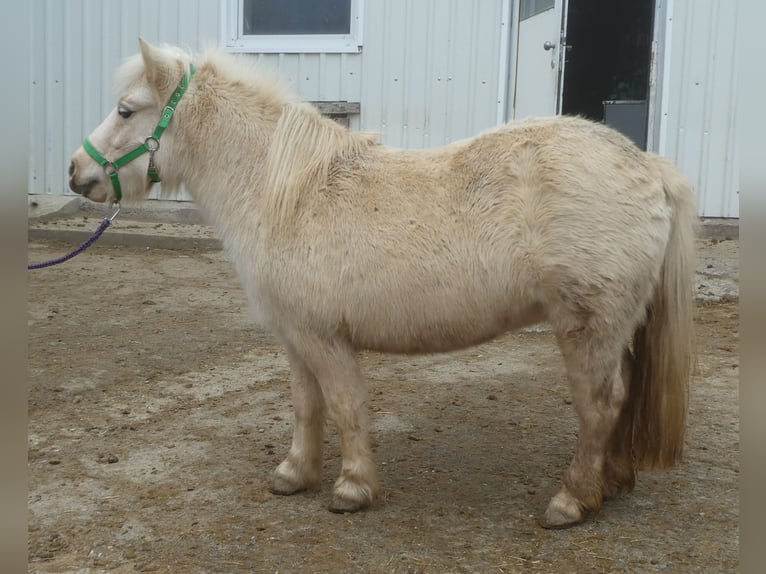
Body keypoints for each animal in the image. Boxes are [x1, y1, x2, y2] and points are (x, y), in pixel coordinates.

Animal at [69, 37, 700, 532]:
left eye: (126, 110)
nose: (77, 171)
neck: (285, 191)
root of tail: (647, 167)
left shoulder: (324, 339)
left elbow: (345, 406)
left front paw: (351, 489)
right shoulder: (294, 337)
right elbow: (306, 406)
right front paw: (295, 474)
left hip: (588, 329)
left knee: (601, 405)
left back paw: (572, 500)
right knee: (623, 397)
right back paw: (612, 483)